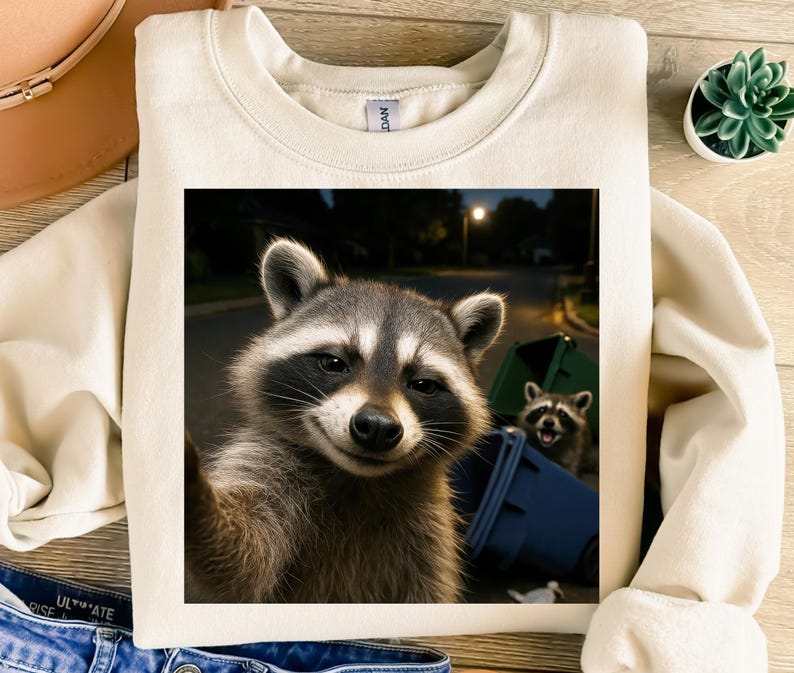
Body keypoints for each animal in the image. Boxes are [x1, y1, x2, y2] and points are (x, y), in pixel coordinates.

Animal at [185, 238, 505, 603]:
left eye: (423, 384)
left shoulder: (431, 530)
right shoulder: (268, 463)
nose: (378, 427)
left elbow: (430, 590)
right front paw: (199, 500)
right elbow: (244, 561)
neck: (356, 478)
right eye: (334, 363)